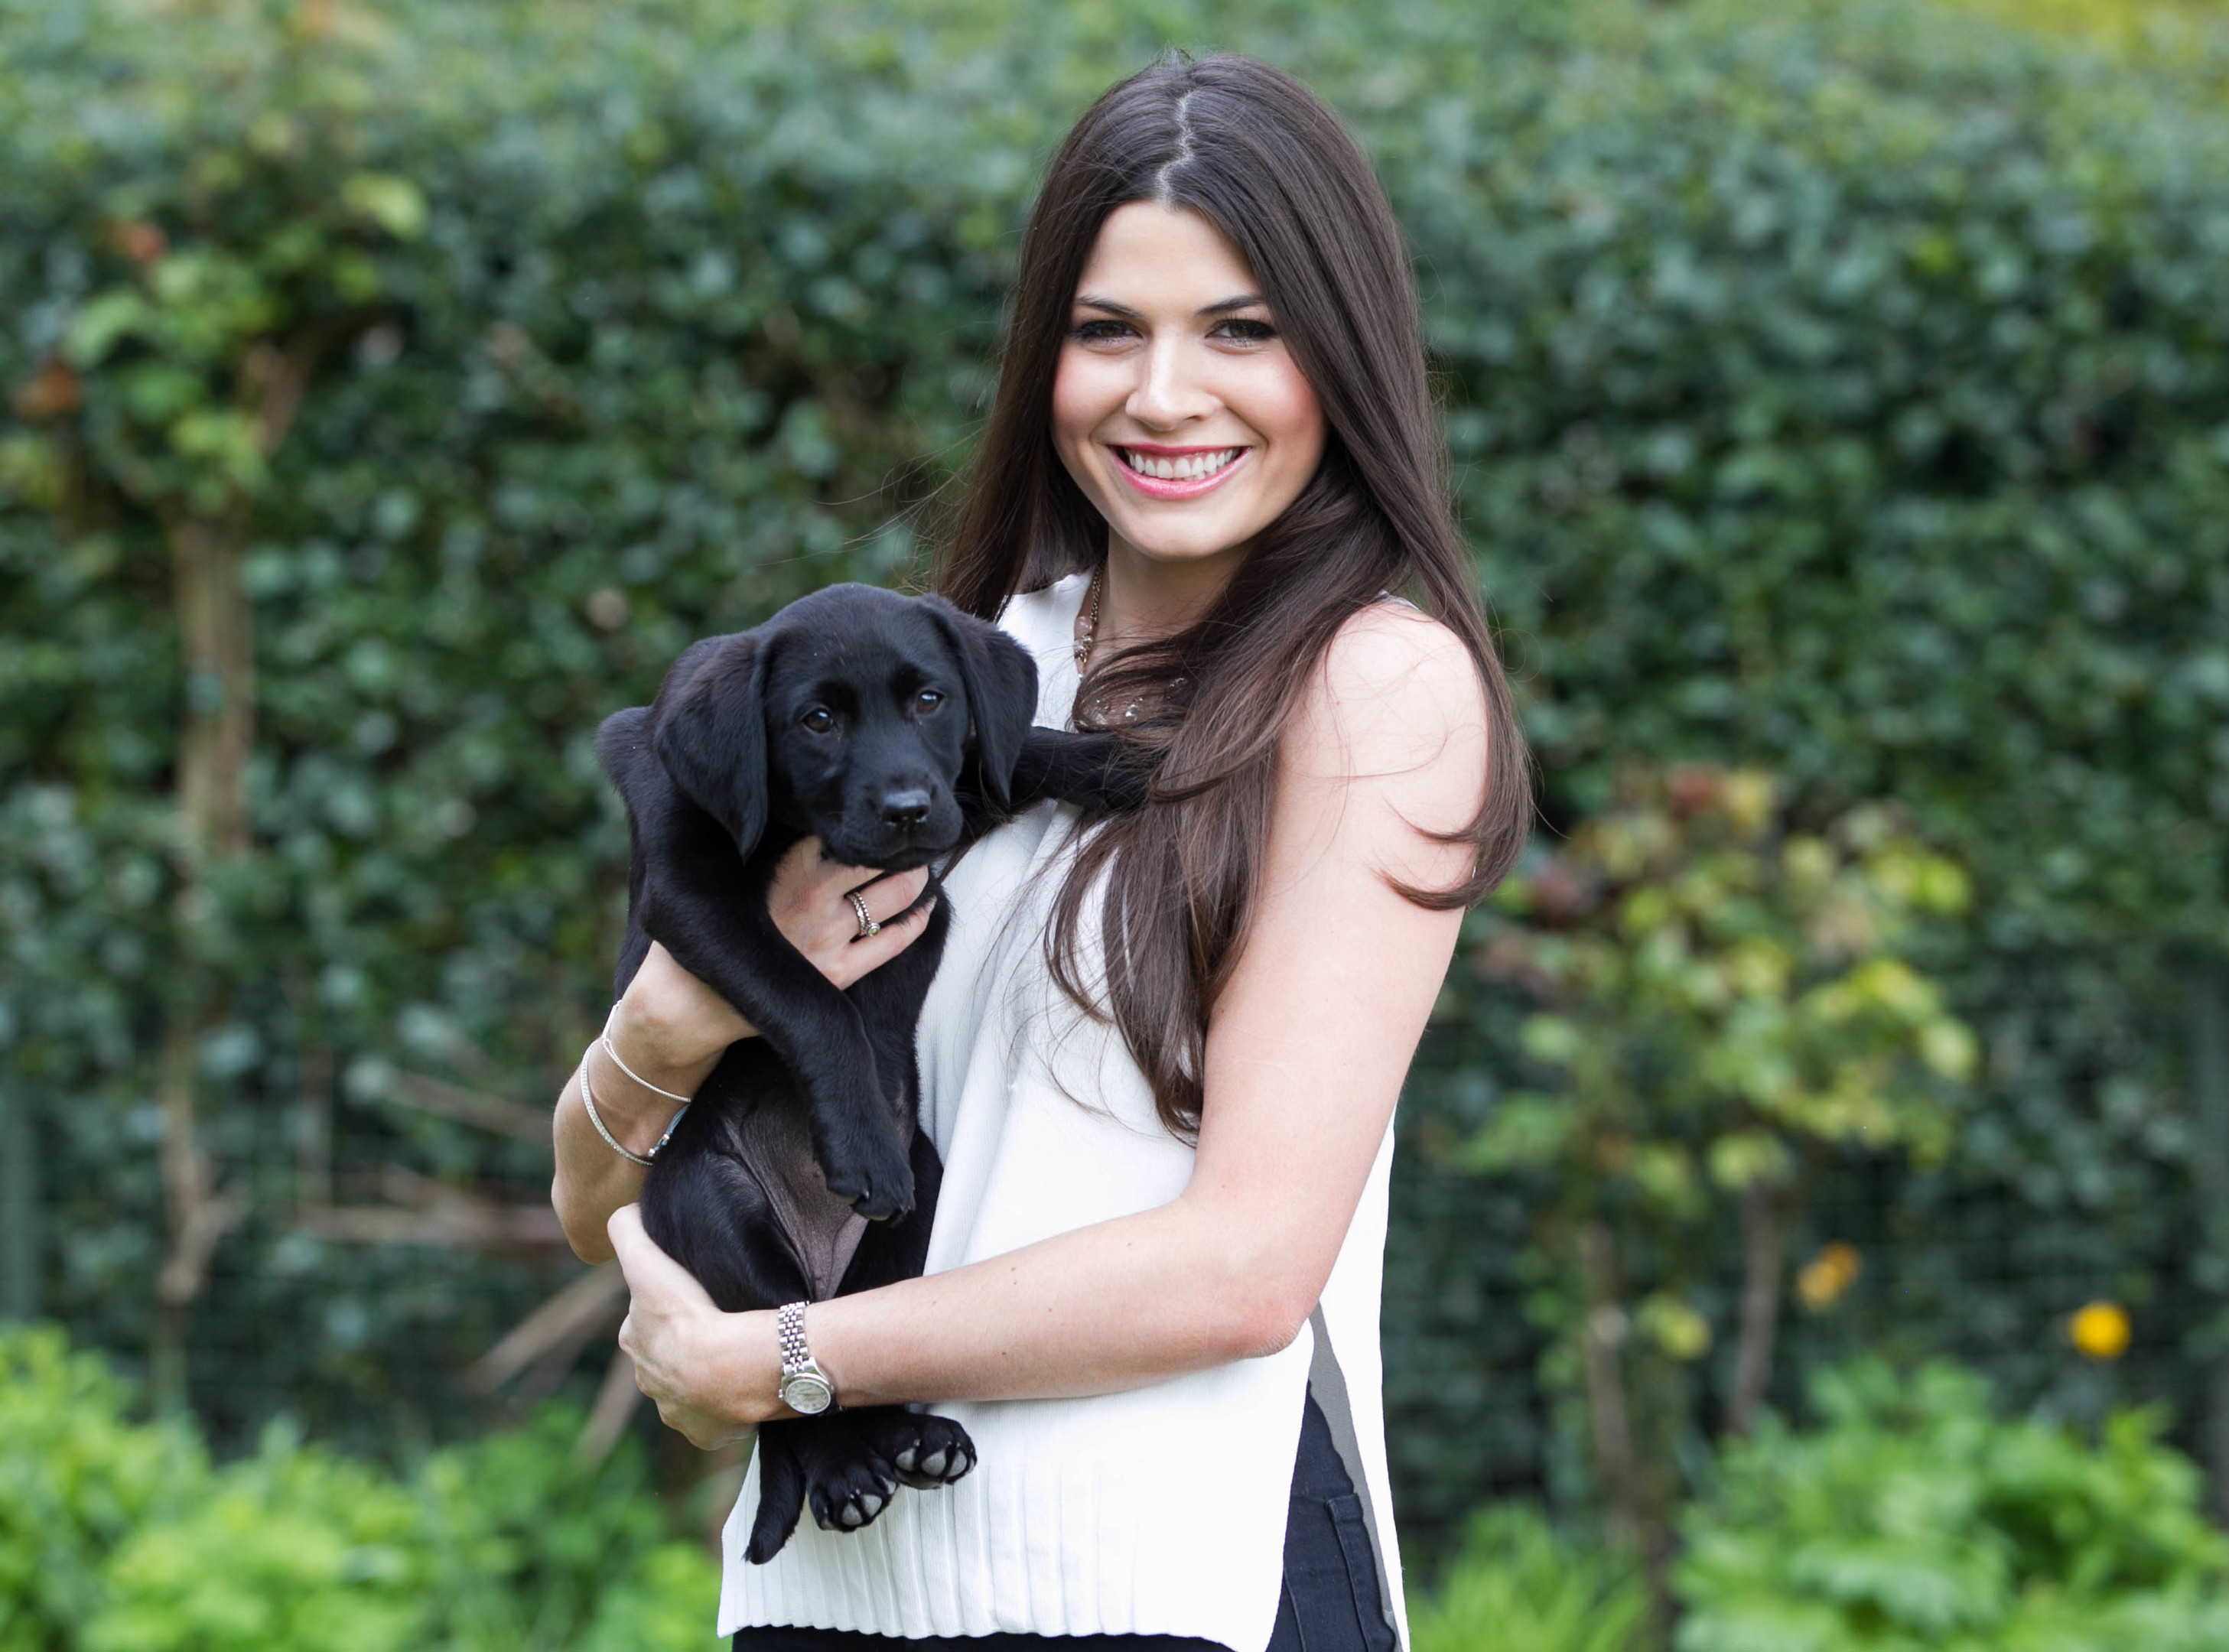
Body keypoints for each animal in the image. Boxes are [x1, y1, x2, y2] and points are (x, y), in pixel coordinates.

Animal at [601, 579, 1141, 1560]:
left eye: (930, 698)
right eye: (816, 720)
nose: (902, 808)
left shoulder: (949, 806)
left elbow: (1005, 758)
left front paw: (1122, 761)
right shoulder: (690, 890)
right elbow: (812, 997)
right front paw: (858, 1144)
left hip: (917, 1214)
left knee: (860, 1341)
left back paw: (912, 1443)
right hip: (712, 1199)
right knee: (788, 1382)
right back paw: (848, 1474)